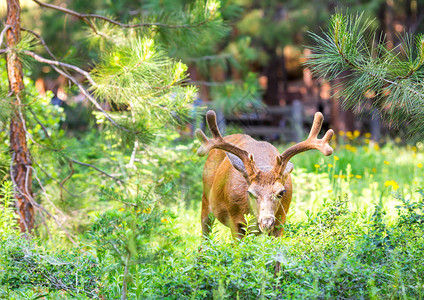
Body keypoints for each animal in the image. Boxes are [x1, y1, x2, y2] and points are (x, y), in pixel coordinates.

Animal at [196, 110, 334, 239]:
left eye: (281, 192)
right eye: (250, 192)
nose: (266, 222)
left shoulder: (281, 220)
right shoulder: (234, 219)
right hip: (205, 198)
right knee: (205, 233)